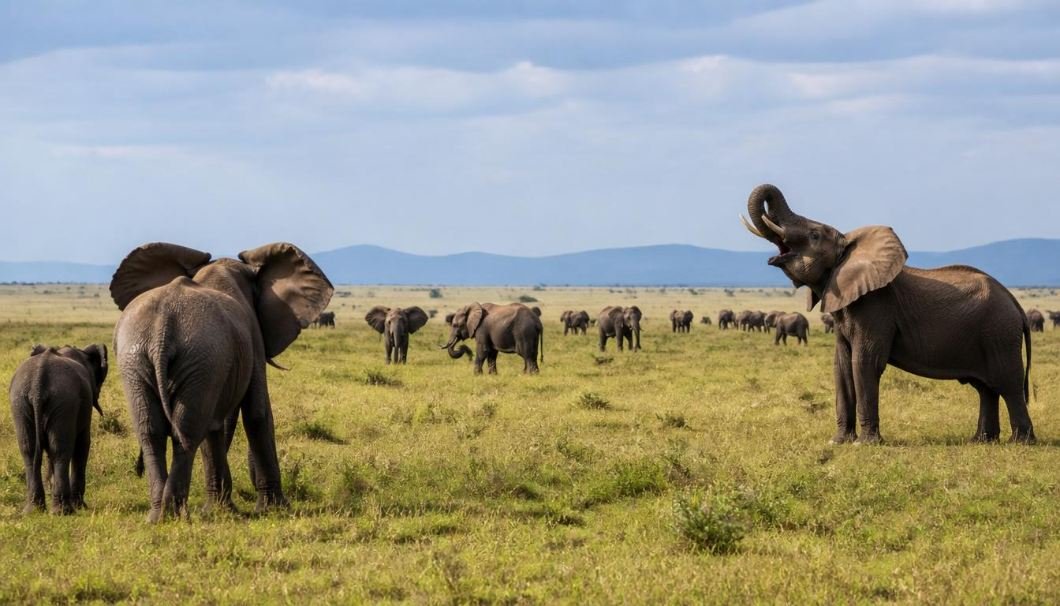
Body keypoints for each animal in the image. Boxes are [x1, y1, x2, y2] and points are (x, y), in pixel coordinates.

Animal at [9, 344, 107, 514]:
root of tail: (38, 384)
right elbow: (83, 444)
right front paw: (81, 507)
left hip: (20, 402)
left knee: (28, 450)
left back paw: (34, 510)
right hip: (64, 402)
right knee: (61, 451)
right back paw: (63, 512)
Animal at [110, 242, 333, 521]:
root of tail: (163, 327)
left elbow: (215, 425)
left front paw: (221, 509)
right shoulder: (252, 339)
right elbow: (257, 414)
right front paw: (274, 509)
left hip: (139, 360)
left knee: (153, 431)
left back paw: (159, 516)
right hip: (193, 356)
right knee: (187, 431)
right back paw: (175, 515)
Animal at [741, 183, 1034, 443]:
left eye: (814, 235)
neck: (849, 247)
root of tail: (1015, 303)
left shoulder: (875, 307)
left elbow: (864, 362)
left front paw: (865, 444)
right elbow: (841, 366)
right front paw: (838, 441)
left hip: (1000, 333)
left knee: (1008, 384)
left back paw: (1020, 442)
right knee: (986, 389)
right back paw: (982, 440)